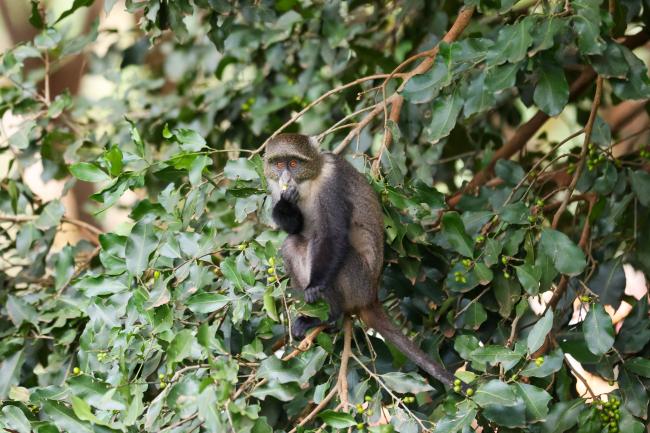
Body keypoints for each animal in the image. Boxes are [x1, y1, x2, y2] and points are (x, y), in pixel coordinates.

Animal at [264, 133, 455, 387]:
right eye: (278, 164)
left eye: (294, 164)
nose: (286, 177)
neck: (312, 179)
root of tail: (371, 295)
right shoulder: (276, 188)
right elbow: (294, 228)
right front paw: (286, 206)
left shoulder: (332, 184)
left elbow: (333, 235)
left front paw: (315, 287)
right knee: (292, 244)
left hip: (357, 281)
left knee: (322, 247)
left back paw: (330, 316)